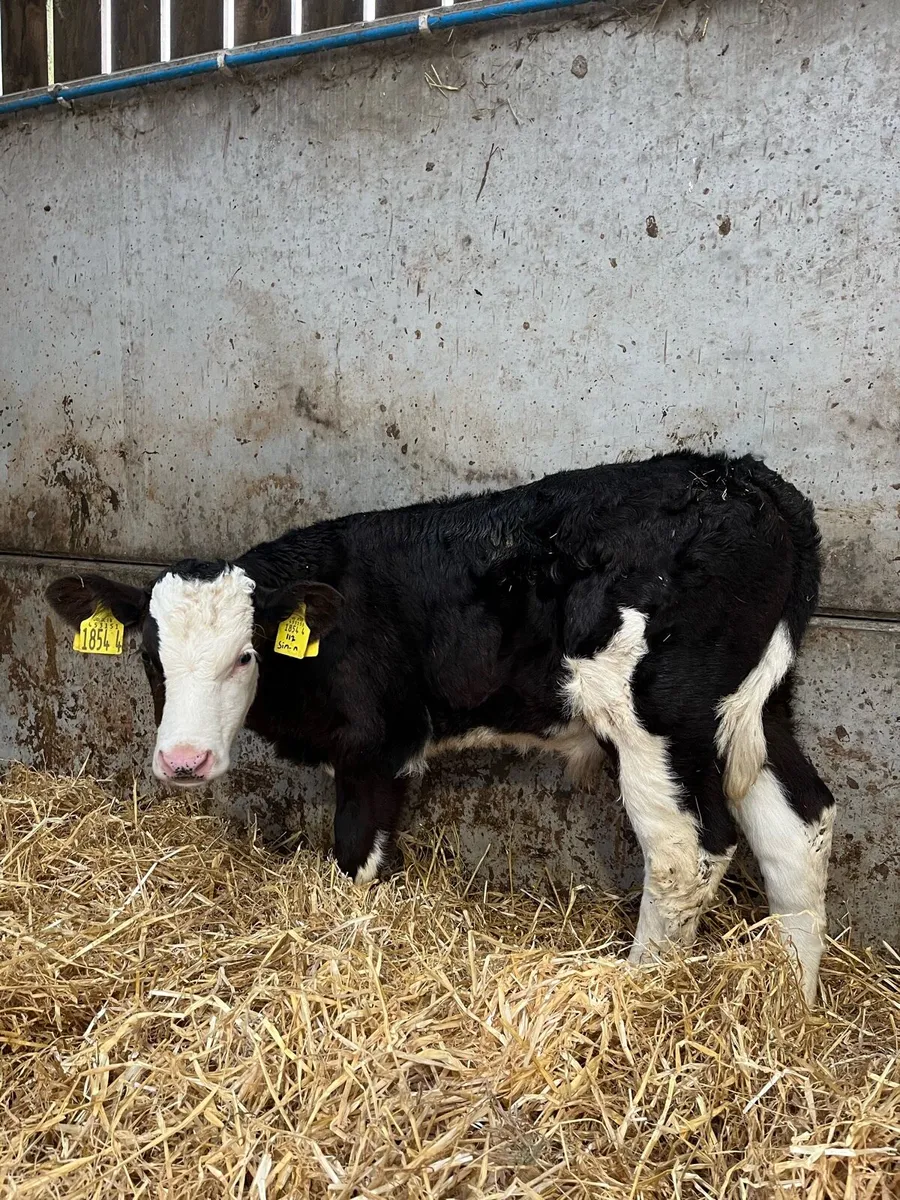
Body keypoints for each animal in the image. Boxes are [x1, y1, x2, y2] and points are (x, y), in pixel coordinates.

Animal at [46, 451, 835, 1002]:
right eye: (149, 657)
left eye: (246, 656)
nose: (184, 760)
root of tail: (744, 479)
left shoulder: (378, 747)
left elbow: (356, 859)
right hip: (757, 703)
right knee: (800, 823)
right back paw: (791, 1002)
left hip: (657, 714)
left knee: (686, 849)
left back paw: (642, 993)